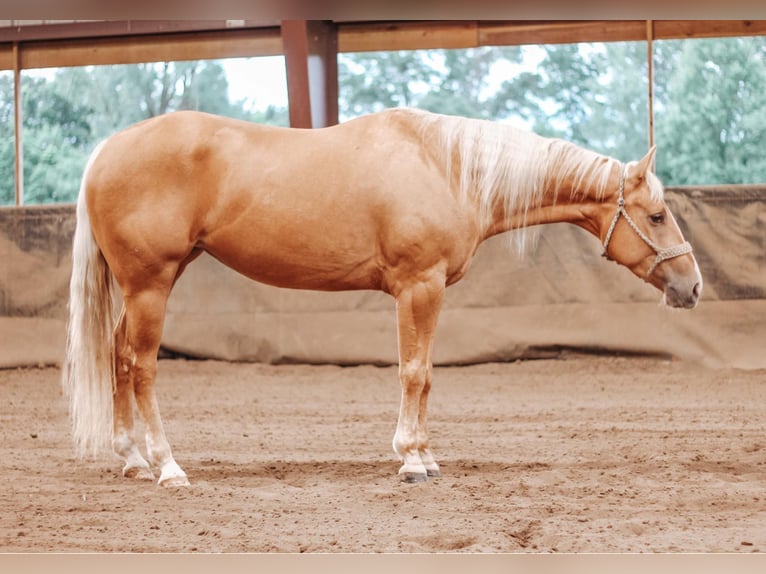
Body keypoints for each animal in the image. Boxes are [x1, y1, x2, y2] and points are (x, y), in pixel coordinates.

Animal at [63, 108, 702, 486]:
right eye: (657, 214)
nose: (692, 286)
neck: (445, 167)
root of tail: (104, 152)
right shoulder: (418, 285)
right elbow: (413, 371)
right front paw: (413, 459)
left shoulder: (427, 290)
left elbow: (427, 374)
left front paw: (425, 454)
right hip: (151, 284)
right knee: (143, 367)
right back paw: (167, 466)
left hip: (145, 287)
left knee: (119, 358)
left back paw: (131, 459)